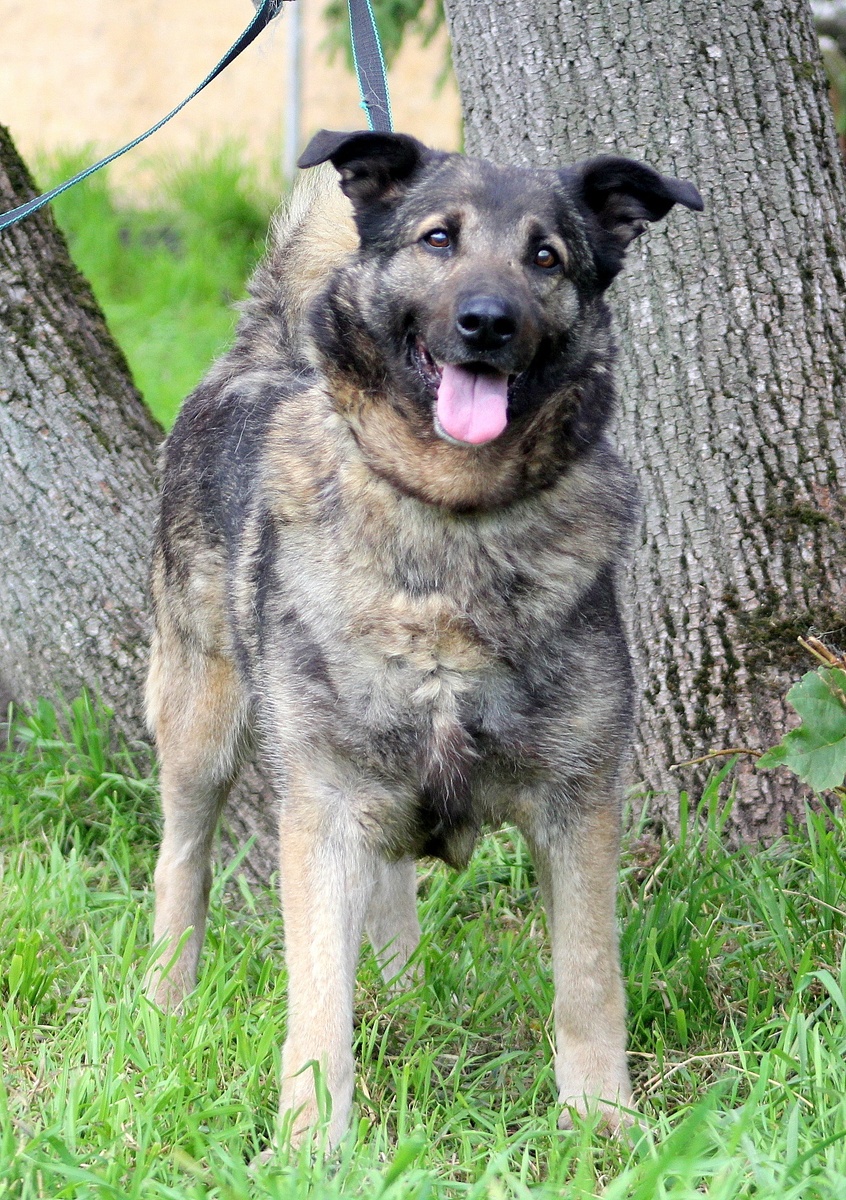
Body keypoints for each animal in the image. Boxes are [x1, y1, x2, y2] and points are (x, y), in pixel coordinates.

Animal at [145, 129, 700, 1142]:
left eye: (546, 258)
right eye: (439, 238)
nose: (486, 323)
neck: (450, 520)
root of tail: (262, 351)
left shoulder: (578, 805)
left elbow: (589, 982)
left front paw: (602, 1124)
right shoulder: (323, 806)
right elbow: (318, 1002)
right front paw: (310, 1142)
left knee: (393, 892)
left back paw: (405, 1001)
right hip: (201, 727)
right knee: (183, 865)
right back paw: (167, 1004)